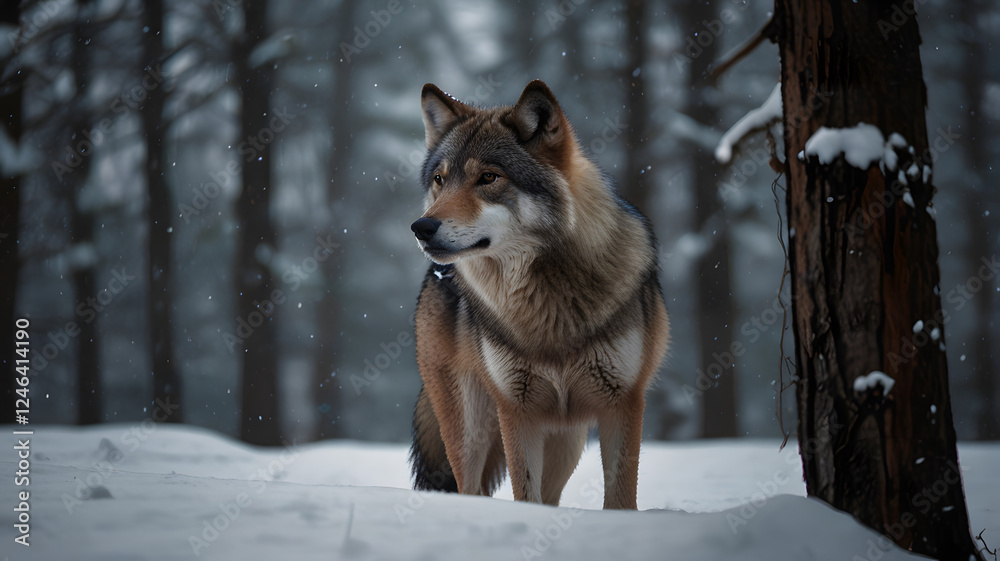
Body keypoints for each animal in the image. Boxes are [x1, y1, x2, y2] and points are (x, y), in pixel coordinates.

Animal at [408, 80, 669, 510]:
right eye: (440, 180)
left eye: (489, 177)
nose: (421, 227)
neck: (546, 307)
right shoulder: (516, 409)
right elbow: (523, 492)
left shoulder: (623, 402)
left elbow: (619, 496)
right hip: (471, 428)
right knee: (470, 489)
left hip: (567, 441)